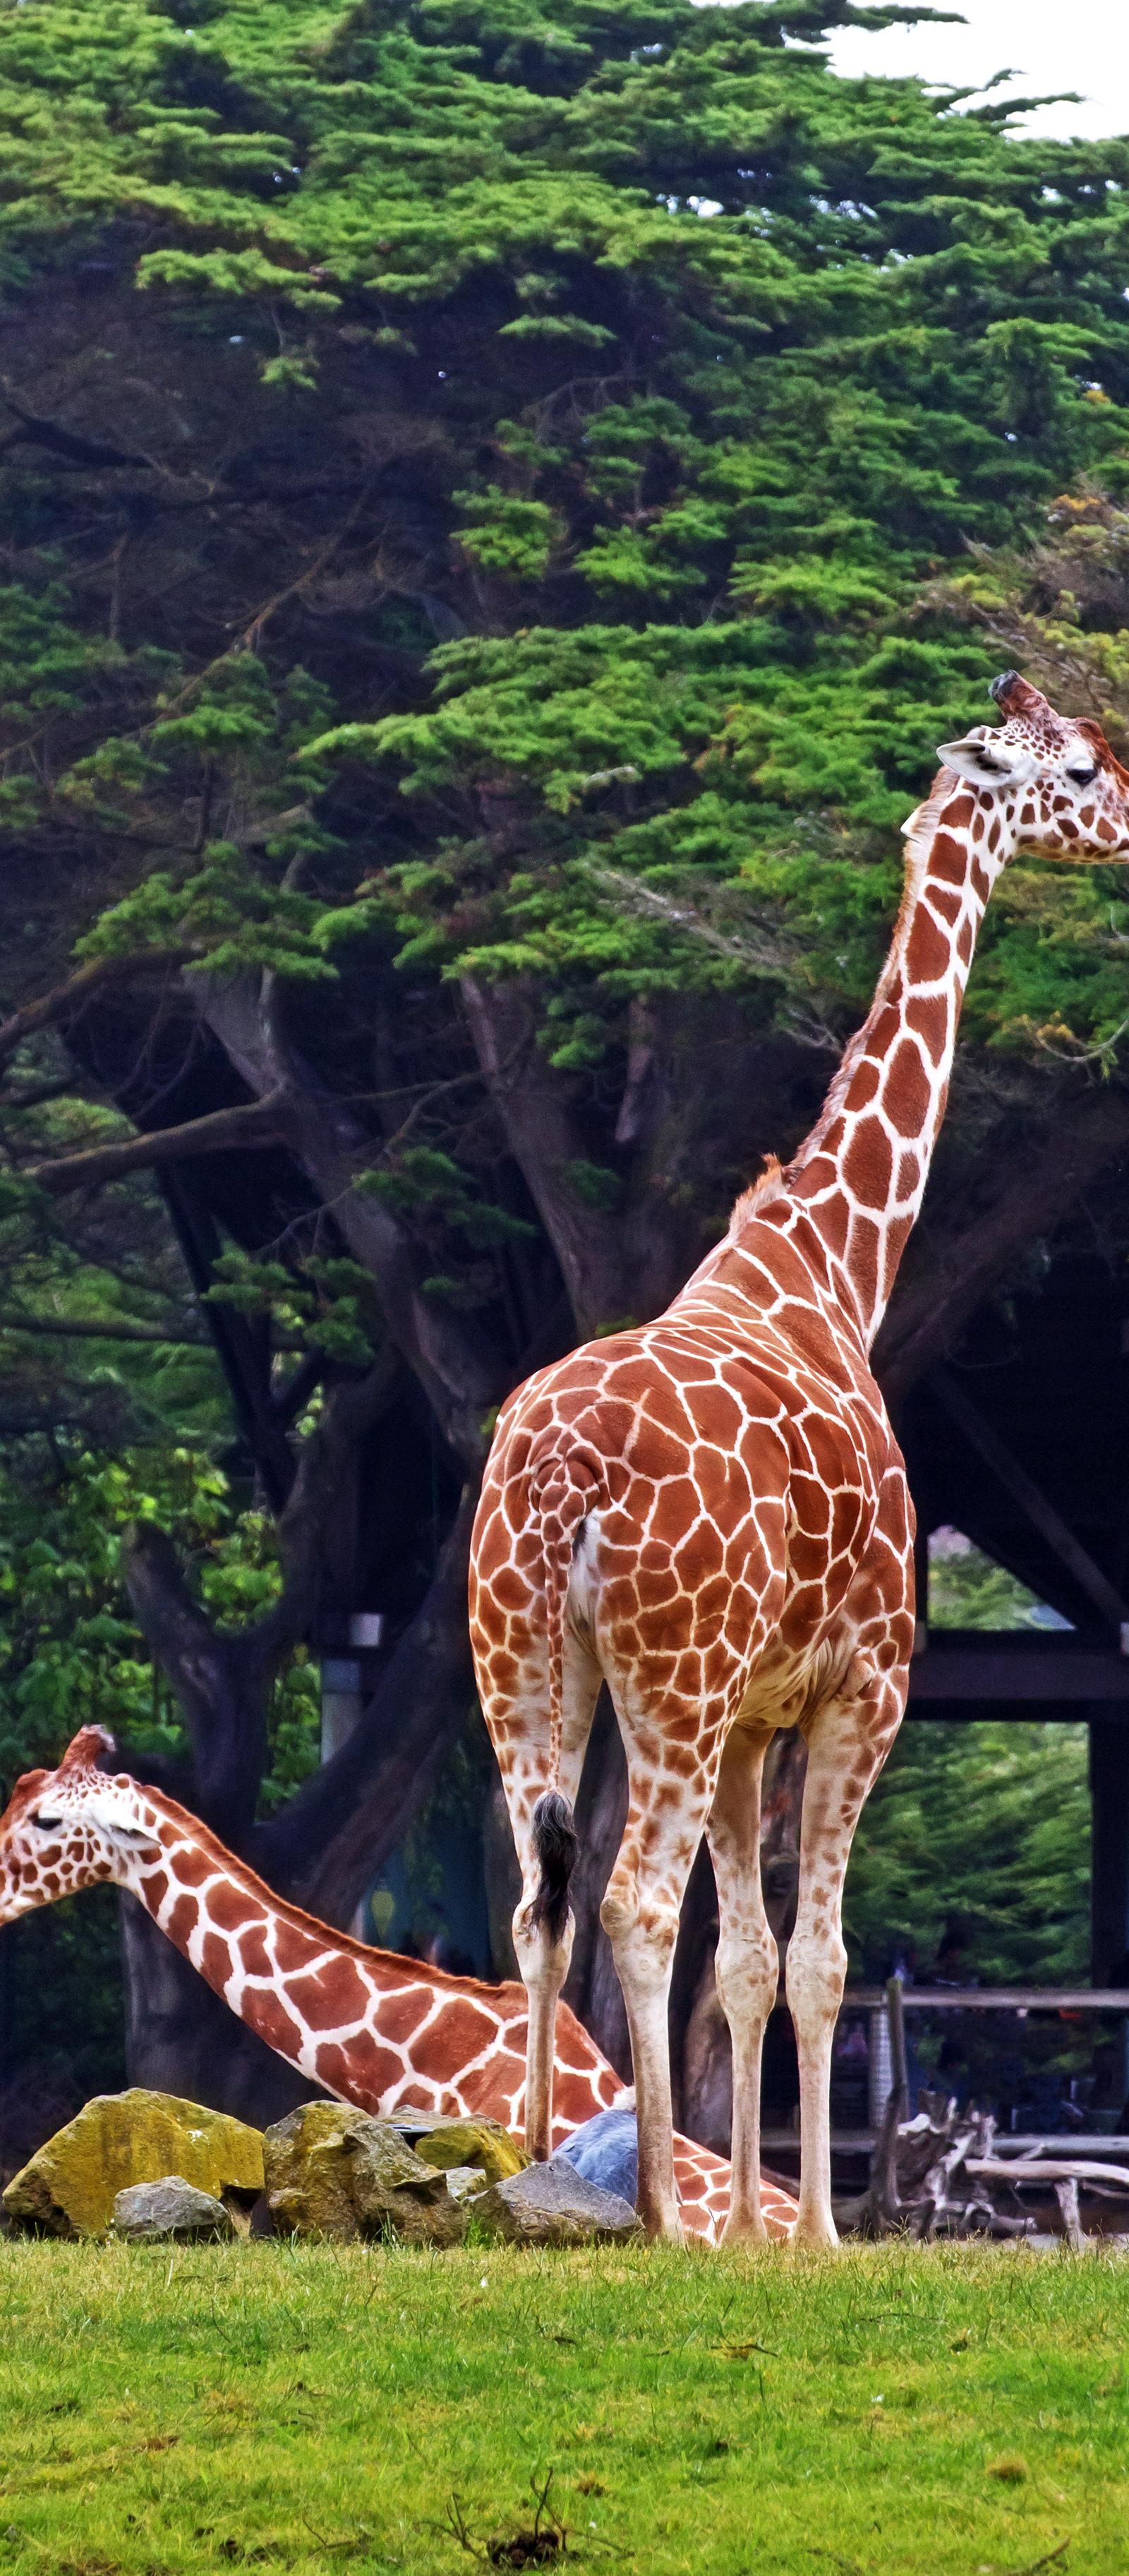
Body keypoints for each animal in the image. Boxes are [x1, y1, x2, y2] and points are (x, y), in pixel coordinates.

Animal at [469, 669, 1129, 2247]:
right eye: (1078, 766)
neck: (833, 1271)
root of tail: (556, 1477)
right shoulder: (862, 1684)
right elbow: (819, 1961)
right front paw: (815, 2235)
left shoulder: (755, 1716)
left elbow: (755, 1965)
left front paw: (762, 2230)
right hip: (669, 1673)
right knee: (633, 1902)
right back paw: (651, 2211)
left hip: (530, 1660)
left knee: (541, 1897)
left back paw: (521, 2175)